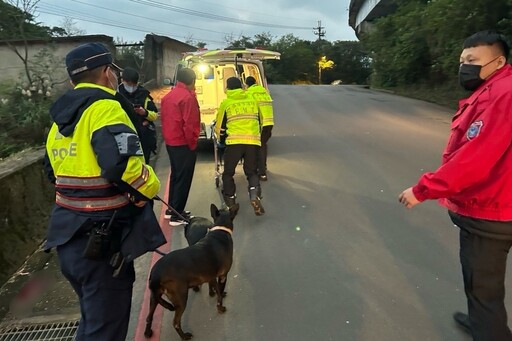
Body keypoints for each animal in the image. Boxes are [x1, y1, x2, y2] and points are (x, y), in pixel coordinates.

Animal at [145, 203, 239, 338]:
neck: (220, 231)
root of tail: (156, 274)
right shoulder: (223, 276)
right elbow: (220, 294)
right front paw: (220, 308)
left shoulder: (210, 276)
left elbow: (214, 288)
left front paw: (213, 293)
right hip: (180, 298)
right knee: (176, 323)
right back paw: (184, 336)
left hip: (154, 297)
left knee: (149, 316)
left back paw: (148, 333)